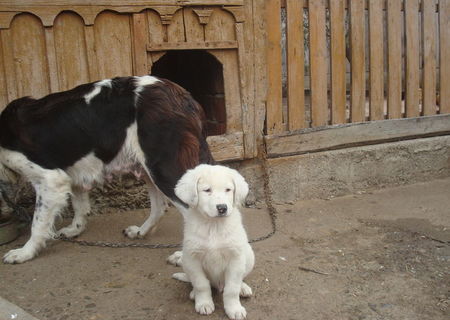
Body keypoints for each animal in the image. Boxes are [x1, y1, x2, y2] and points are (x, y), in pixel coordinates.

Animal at [0, 76, 214, 264]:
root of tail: (186, 98)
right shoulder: (72, 174)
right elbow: (80, 206)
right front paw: (75, 230)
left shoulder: (50, 179)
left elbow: (37, 223)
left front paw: (24, 252)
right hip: (148, 167)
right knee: (160, 207)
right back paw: (140, 231)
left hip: (163, 167)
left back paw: (183, 257)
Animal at [168, 165, 255, 320]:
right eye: (207, 190)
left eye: (228, 190)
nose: (222, 208)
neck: (214, 226)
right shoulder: (193, 258)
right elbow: (201, 284)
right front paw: (204, 303)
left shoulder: (235, 258)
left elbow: (232, 288)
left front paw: (234, 309)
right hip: (185, 260)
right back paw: (194, 294)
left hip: (249, 255)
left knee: (239, 279)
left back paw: (243, 288)